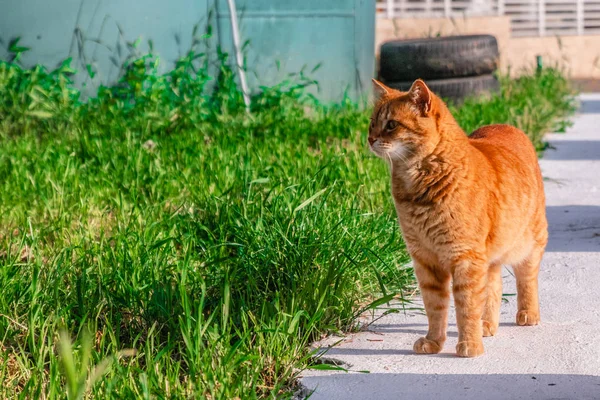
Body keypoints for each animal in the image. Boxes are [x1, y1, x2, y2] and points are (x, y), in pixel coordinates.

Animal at [368, 78, 548, 356]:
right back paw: (487, 324)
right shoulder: (426, 260)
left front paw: (469, 345)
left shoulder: (465, 257)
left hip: (529, 242)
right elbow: (436, 307)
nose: (370, 138)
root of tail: (505, 125)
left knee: (526, 278)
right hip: (489, 256)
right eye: (372, 123)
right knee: (494, 285)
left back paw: (527, 313)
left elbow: (466, 306)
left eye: (391, 125)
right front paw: (433, 341)